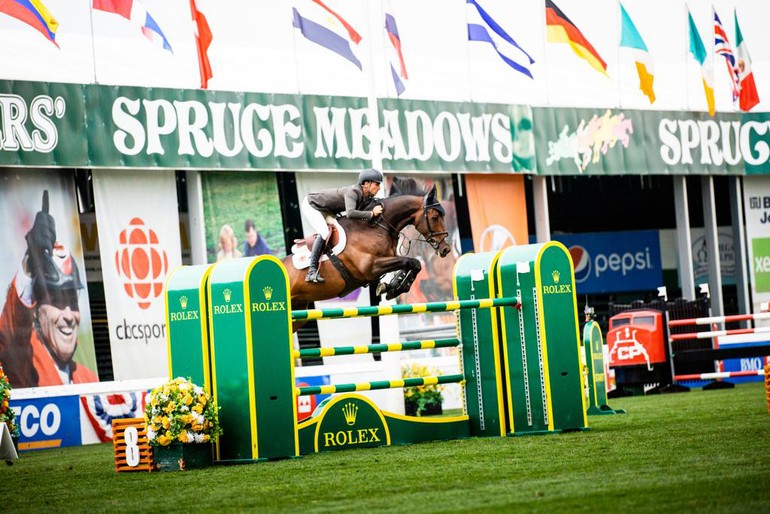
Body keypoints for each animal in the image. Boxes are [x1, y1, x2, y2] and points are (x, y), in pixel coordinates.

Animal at [282, 175, 450, 320]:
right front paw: (395, 286)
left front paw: (392, 286)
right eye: (435, 217)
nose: (446, 249)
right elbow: (411, 262)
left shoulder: (389, 258)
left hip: (299, 308)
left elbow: (412, 263)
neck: (373, 227)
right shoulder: (371, 268)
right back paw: (312, 275)